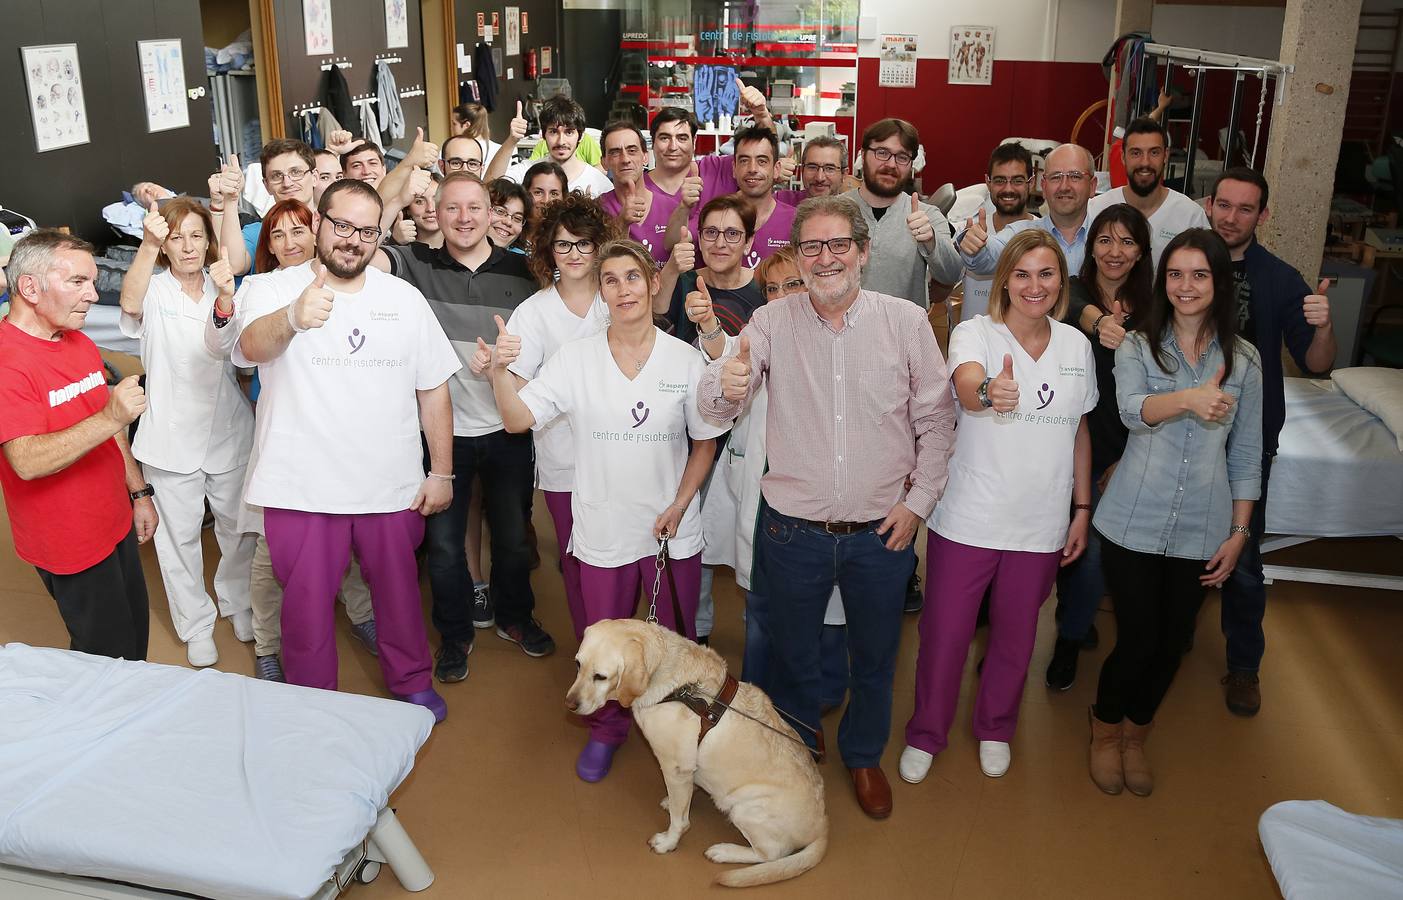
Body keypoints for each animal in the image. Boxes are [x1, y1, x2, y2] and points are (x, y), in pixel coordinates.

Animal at [564, 617, 824, 887]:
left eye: (601, 677)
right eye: (578, 664)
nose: (569, 704)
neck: (673, 686)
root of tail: (822, 827)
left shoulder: (675, 769)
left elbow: (680, 821)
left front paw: (668, 842)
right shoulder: (686, 771)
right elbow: (685, 795)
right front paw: (676, 800)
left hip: (744, 808)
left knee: (770, 855)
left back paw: (724, 851)